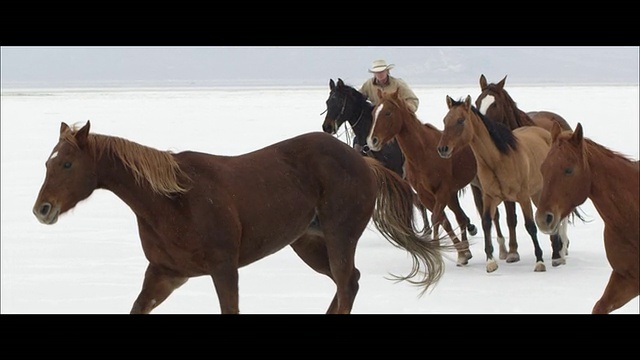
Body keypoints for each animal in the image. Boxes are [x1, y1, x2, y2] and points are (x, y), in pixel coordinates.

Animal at [32, 120, 448, 312]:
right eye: (48, 162)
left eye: (67, 163)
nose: (42, 209)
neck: (171, 201)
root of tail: (363, 161)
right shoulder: (166, 274)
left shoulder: (223, 269)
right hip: (310, 245)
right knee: (350, 284)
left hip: (339, 237)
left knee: (347, 286)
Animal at [438, 95, 568, 272]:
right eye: (445, 120)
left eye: (460, 120)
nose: (442, 149)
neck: (498, 160)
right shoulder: (489, 197)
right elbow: (486, 223)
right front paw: (490, 262)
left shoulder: (523, 197)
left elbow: (530, 226)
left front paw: (539, 262)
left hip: (539, 193)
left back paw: (557, 256)